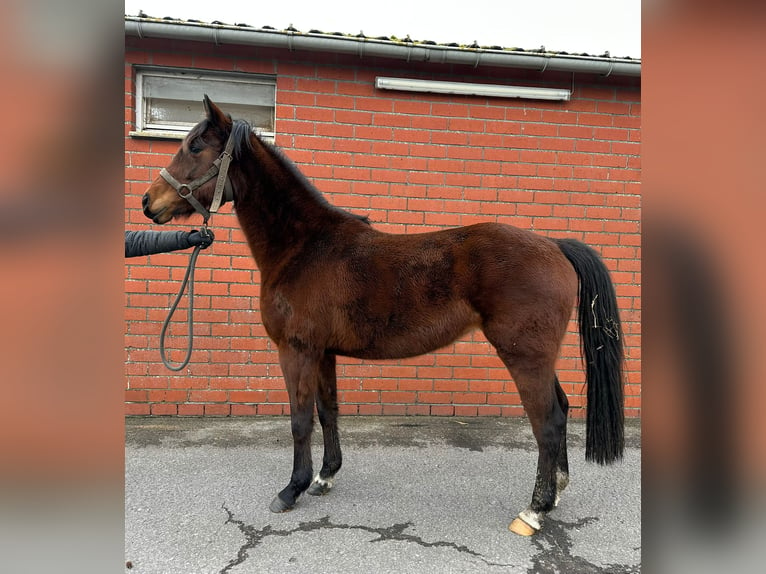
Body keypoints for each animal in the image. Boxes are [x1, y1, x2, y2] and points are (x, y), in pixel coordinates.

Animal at [142, 95, 624, 536]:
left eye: (196, 146)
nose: (149, 202)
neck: (304, 248)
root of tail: (553, 245)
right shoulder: (323, 353)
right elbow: (327, 411)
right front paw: (324, 477)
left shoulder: (297, 350)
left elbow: (300, 420)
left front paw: (291, 489)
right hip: (539, 356)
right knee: (562, 409)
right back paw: (556, 493)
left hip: (524, 356)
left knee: (548, 422)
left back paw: (534, 511)